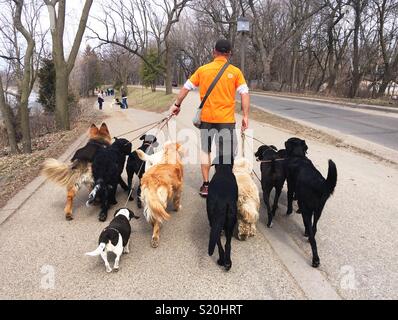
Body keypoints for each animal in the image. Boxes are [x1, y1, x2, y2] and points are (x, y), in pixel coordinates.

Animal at [284, 138, 338, 268]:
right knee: (314, 228)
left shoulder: (290, 186)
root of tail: (320, 183)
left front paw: (289, 211)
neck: (298, 156)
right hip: (318, 210)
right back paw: (309, 235)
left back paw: (315, 259)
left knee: (312, 236)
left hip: (308, 211)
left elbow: (289, 199)